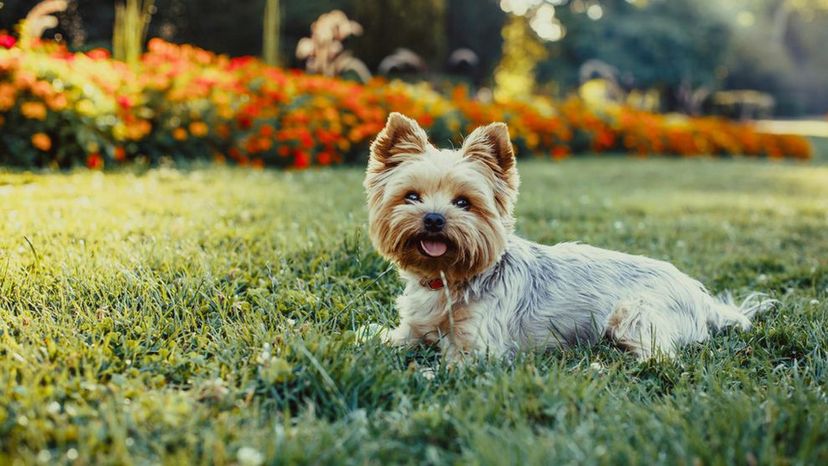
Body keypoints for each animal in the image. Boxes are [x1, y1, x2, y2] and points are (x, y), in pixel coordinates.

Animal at [362, 112, 768, 360]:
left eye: (463, 202)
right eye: (411, 196)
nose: (433, 219)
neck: (448, 278)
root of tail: (704, 299)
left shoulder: (478, 348)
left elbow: (447, 363)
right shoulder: (411, 329)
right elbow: (392, 338)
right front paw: (368, 338)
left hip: (634, 313)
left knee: (660, 355)